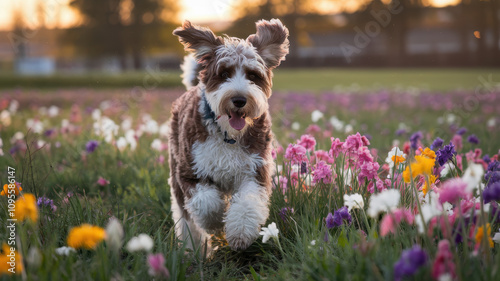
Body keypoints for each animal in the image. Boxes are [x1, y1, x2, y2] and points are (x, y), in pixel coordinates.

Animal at [169, 18, 290, 253]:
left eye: (253, 76)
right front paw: (216, 223)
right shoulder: (190, 171)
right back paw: (193, 249)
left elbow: (247, 203)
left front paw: (239, 234)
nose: (239, 100)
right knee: (185, 218)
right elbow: (206, 203)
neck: (228, 133)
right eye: (224, 74)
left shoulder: (254, 170)